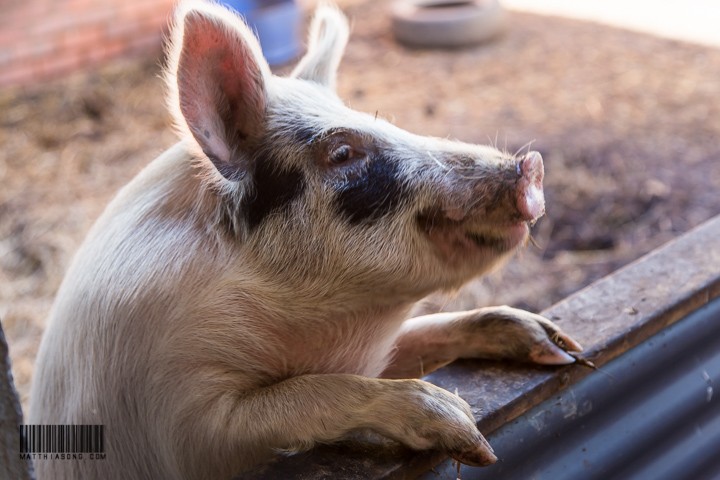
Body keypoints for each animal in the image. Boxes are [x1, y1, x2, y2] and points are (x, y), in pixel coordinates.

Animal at [29, 1, 582, 479]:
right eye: (342, 152)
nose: (529, 166)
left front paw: (559, 348)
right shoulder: (181, 418)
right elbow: (299, 395)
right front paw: (468, 434)